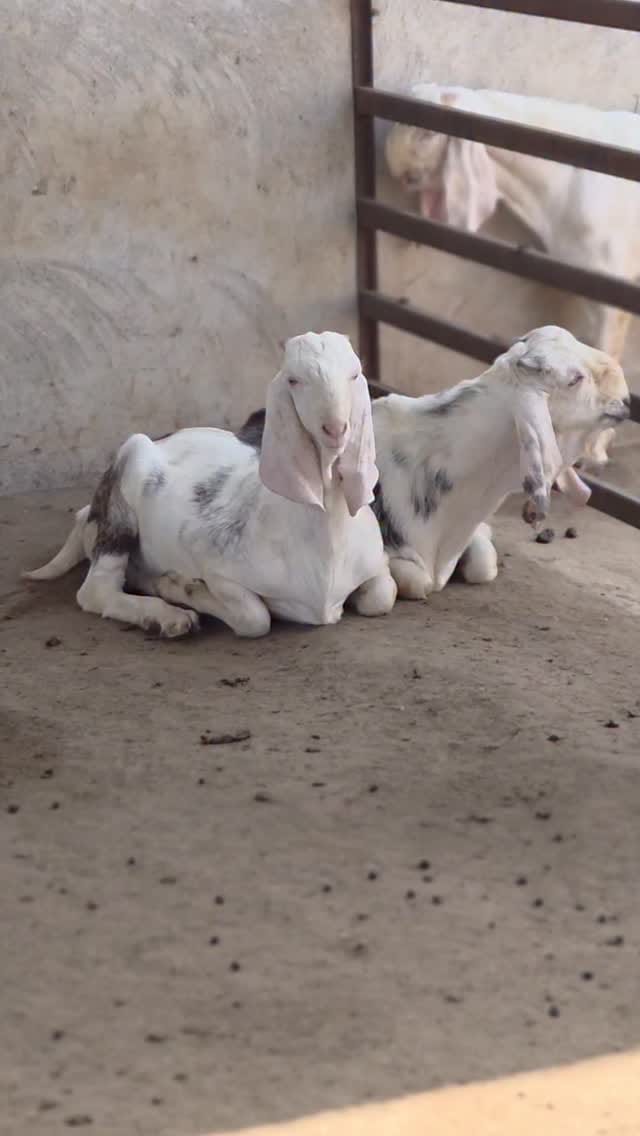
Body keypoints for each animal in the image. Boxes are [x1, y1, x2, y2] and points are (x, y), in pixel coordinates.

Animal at [24, 333, 397, 636]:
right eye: (294, 380)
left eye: (355, 374)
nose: (335, 429)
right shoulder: (217, 568)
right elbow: (254, 618)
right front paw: (182, 587)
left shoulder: (378, 563)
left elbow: (383, 597)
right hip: (122, 497)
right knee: (96, 590)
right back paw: (167, 617)